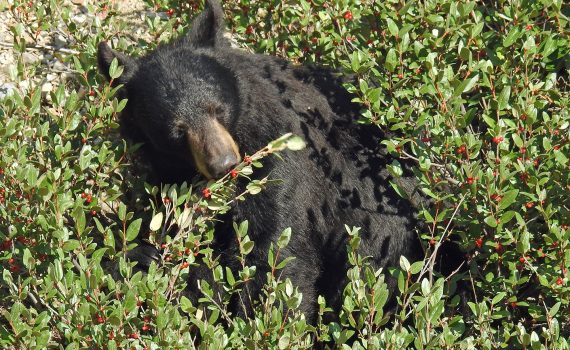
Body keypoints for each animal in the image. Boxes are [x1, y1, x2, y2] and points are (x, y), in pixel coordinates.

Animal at [97, 0, 424, 322]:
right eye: (177, 130)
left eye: (217, 109)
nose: (225, 164)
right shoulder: (171, 176)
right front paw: (142, 256)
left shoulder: (282, 154)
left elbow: (274, 245)